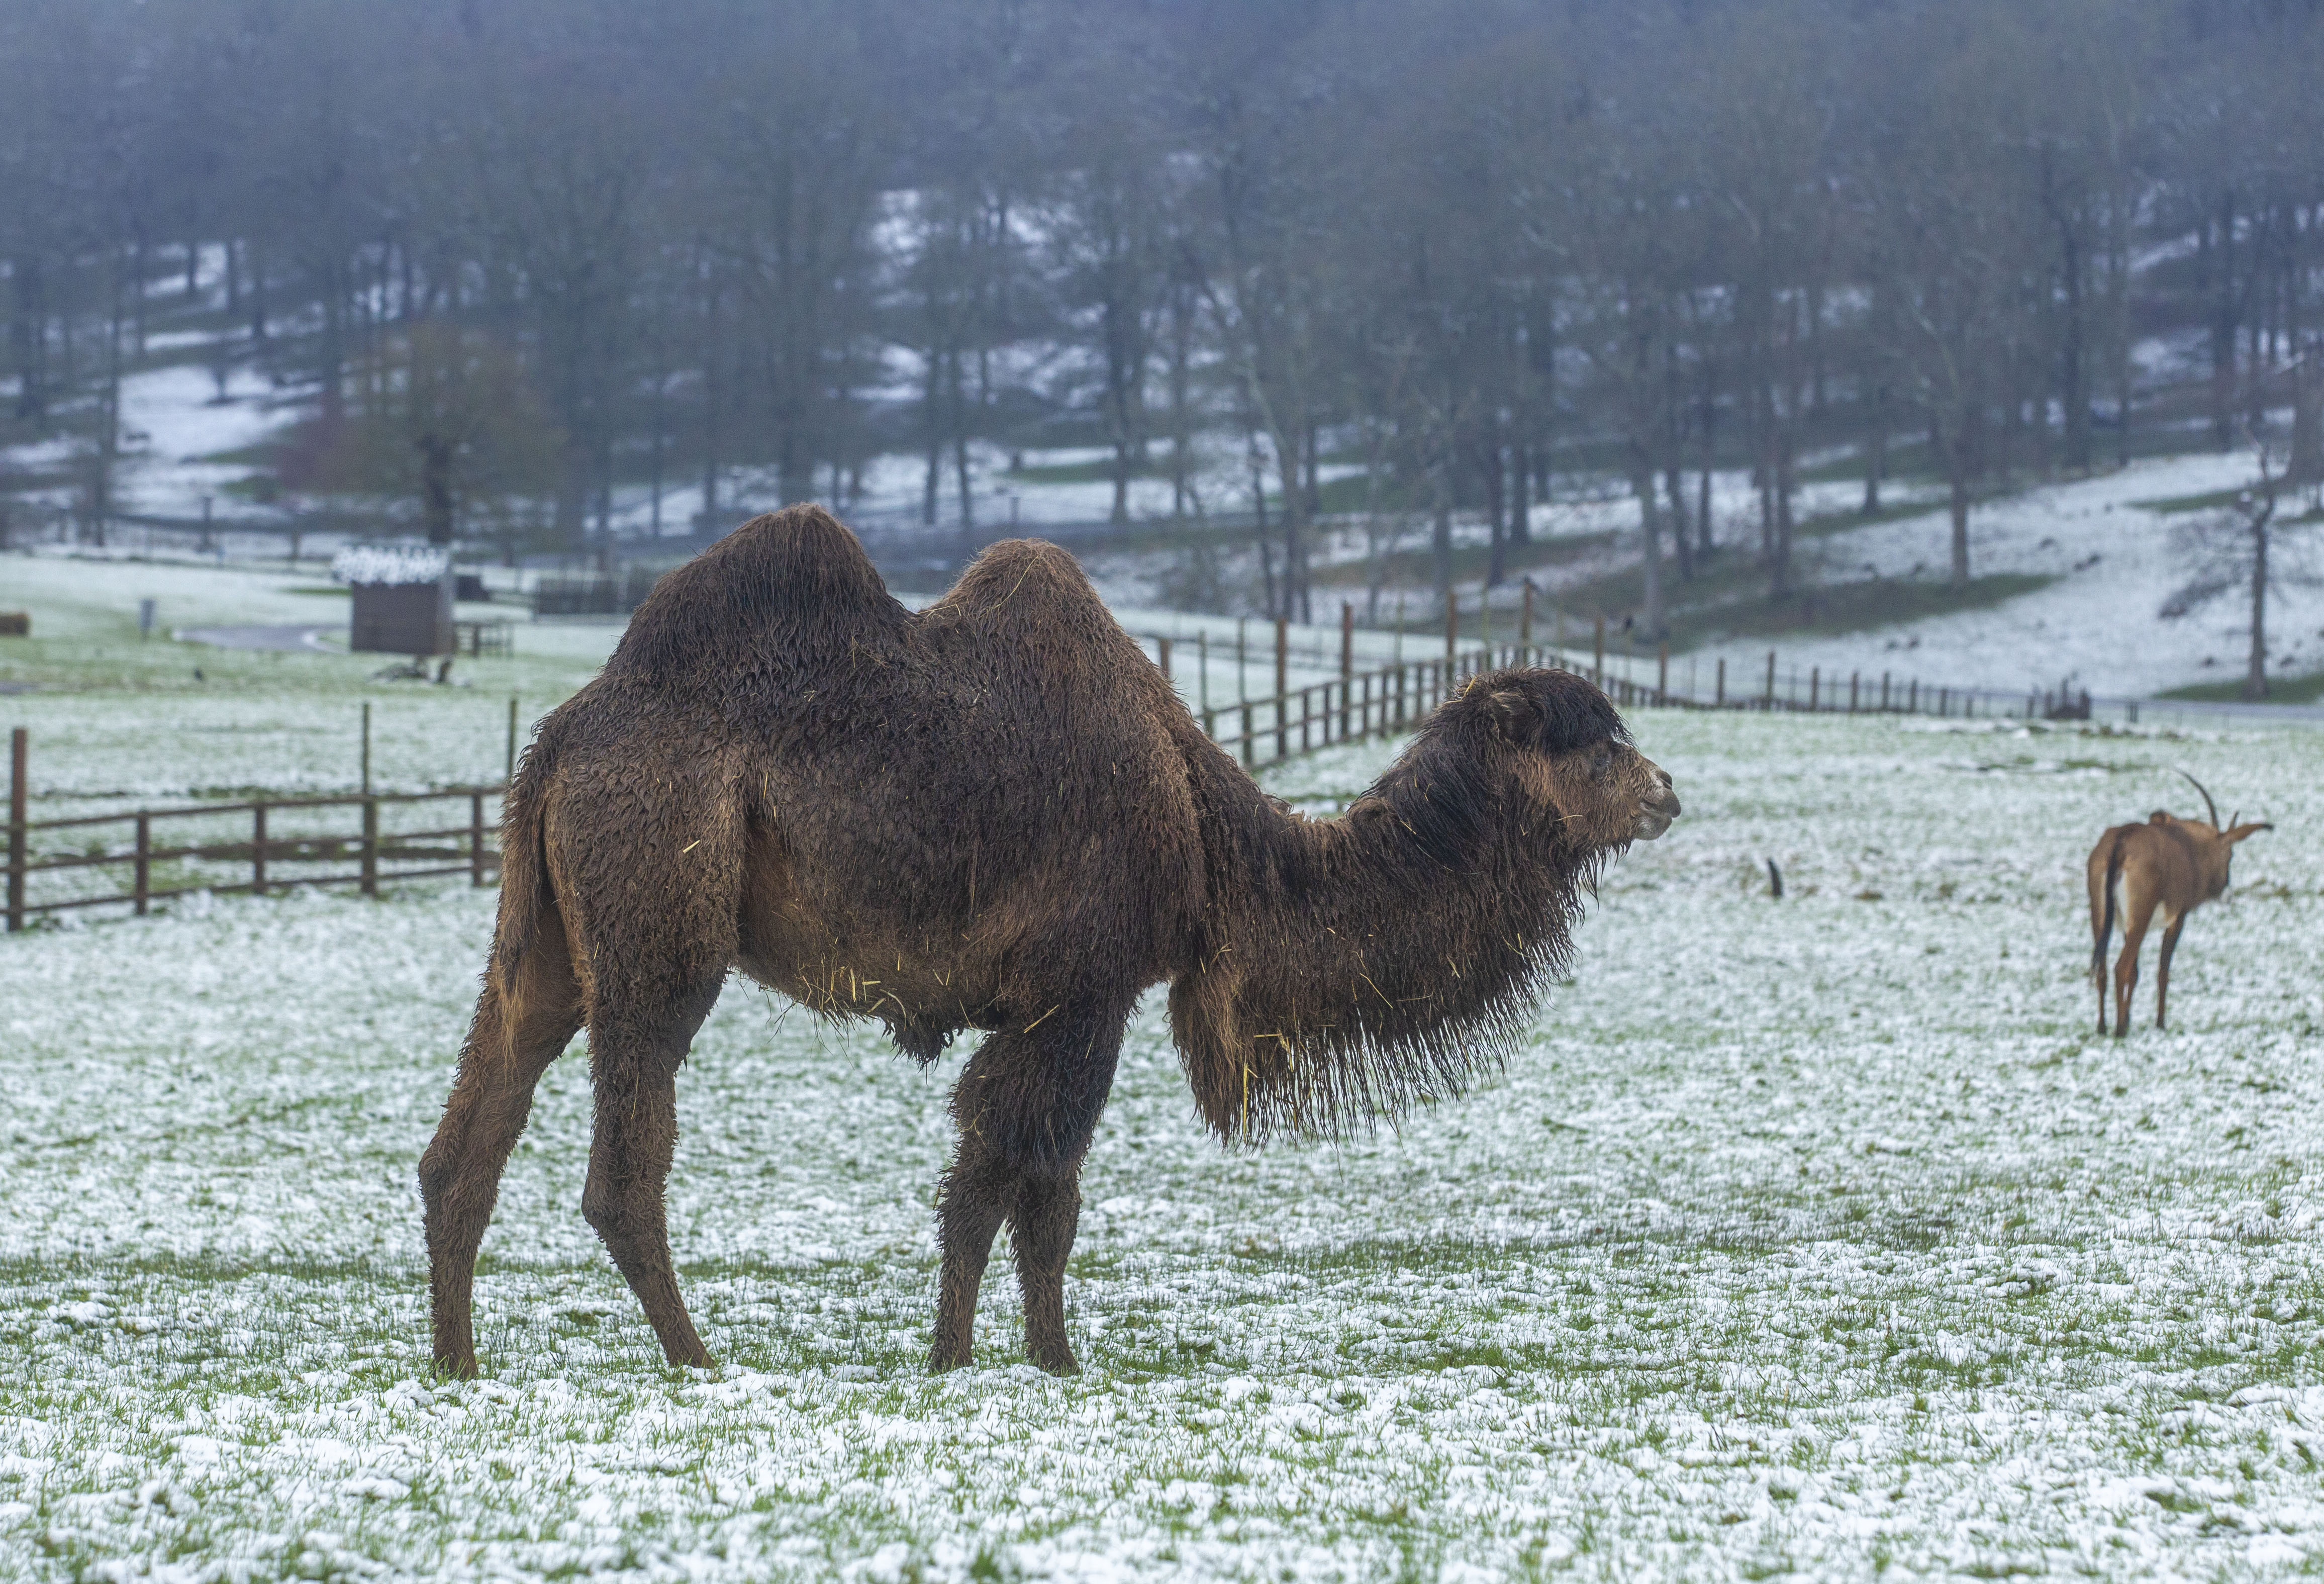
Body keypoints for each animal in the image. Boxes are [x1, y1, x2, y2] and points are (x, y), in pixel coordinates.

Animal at [418, 507, 1682, 1367]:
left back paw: (458, 1365)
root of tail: (563, 740)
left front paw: (999, 1359)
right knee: (624, 1161)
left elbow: (1013, 1192)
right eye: (1593, 741)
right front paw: (1001, 1361)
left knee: (474, 1122)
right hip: (659, 912)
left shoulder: (1054, 1003)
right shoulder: (1081, 991)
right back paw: (698, 1361)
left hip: (545, 931)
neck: (1213, 835)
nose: (1668, 789)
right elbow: (1020, 1188)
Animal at [2091, 767, 2268, 1037]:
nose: (2227, 894)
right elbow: (2162, 972)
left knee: (2102, 969)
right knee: (2121, 967)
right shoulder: (2178, 919)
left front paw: (2131, 1018)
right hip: (2141, 918)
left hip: (2101, 918)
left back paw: (2102, 1027)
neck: (2188, 846)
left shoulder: (2126, 927)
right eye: (2230, 855)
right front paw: (2160, 1024)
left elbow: (2136, 973)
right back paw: (2120, 1030)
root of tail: (2122, 841)